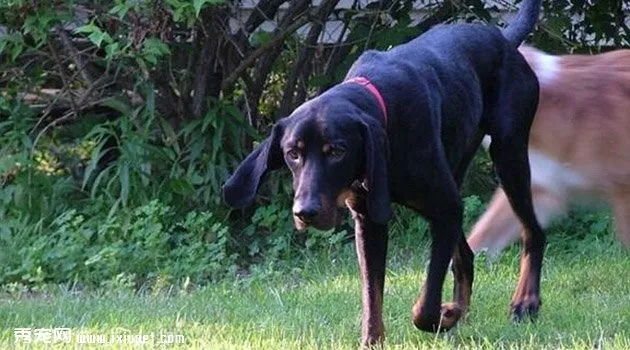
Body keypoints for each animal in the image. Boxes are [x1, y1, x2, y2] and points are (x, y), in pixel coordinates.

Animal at [225, 0, 544, 344]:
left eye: (337, 151)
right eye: (292, 153)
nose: (304, 212)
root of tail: (503, 39)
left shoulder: (445, 210)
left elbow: (425, 307)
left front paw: (443, 316)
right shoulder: (369, 220)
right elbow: (371, 293)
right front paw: (374, 339)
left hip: (508, 155)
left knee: (533, 231)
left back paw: (525, 302)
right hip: (458, 168)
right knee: (466, 256)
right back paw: (463, 308)